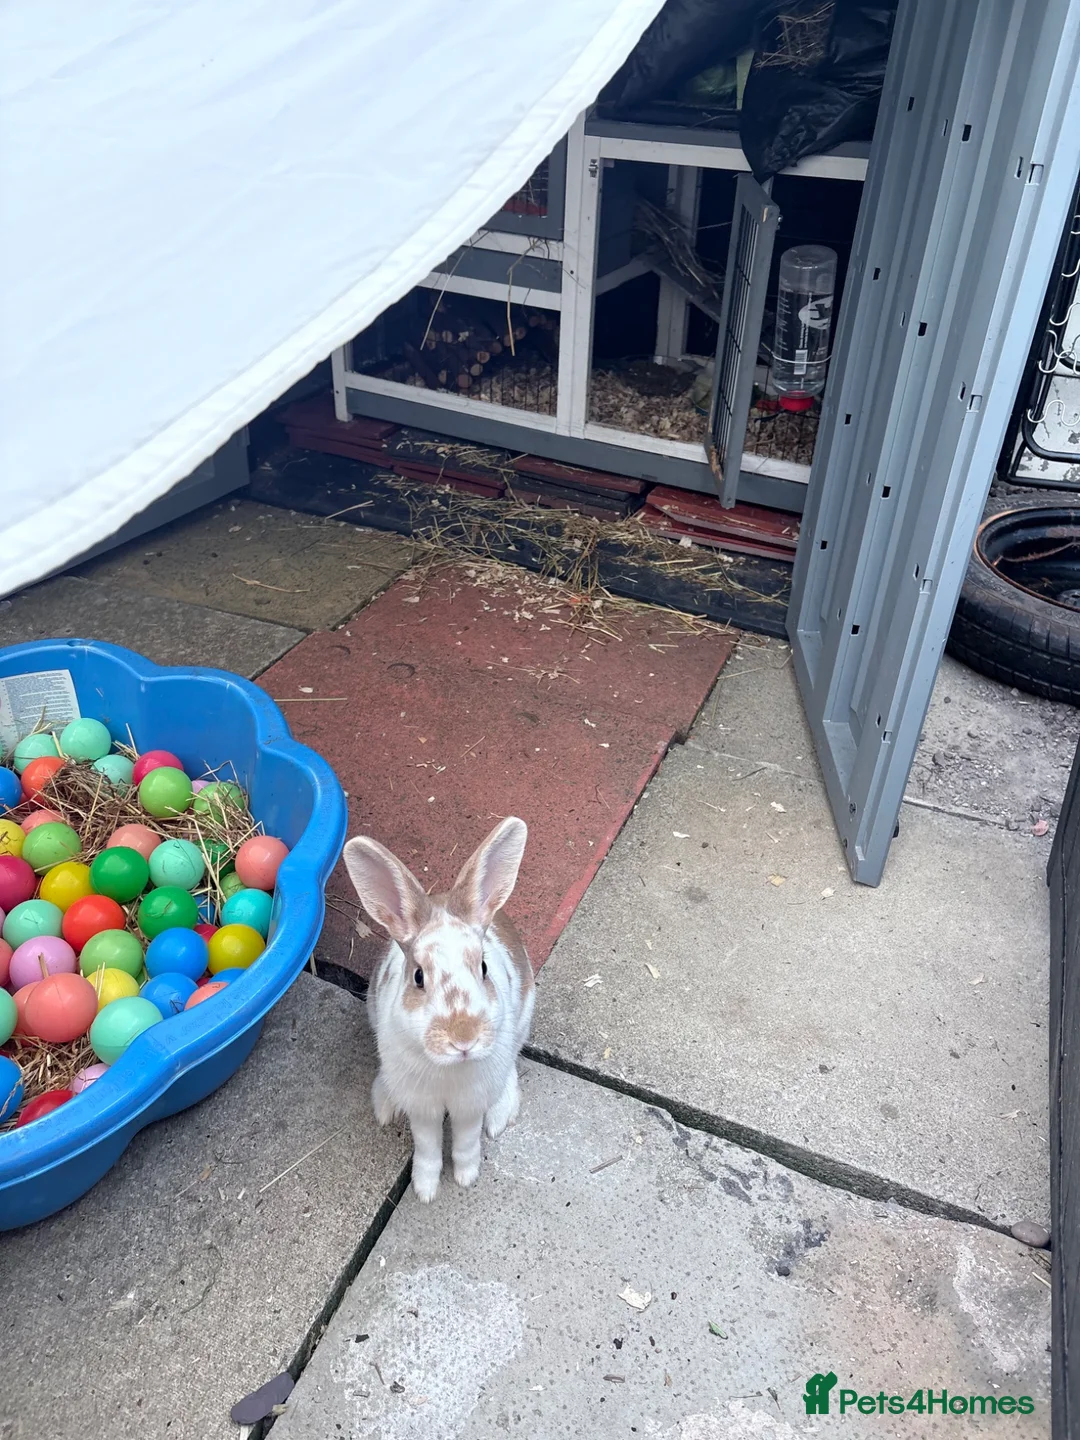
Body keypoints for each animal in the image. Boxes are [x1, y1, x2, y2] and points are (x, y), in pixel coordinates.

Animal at [342, 815, 535, 1203]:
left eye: (483, 968)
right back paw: (386, 1104)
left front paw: (465, 1177)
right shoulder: (423, 1107)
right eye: (418, 976)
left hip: (522, 1021)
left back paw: (499, 1116)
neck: (449, 1071)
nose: (464, 1039)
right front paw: (426, 1190)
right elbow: (428, 1146)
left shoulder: (469, 1104)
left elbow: (466, 1141)